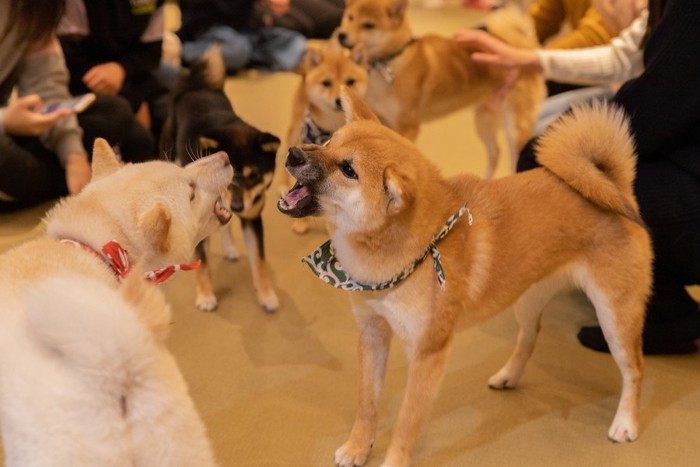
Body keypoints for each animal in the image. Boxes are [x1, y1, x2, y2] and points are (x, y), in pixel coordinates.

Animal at [162, 45, 282, 312]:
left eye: (254, 176)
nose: (237, 206)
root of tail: (195, 86)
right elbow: (203, 263)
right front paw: (206, 295)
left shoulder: (252, 216)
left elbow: (259, 261)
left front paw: (266, 295)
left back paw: (229, 247)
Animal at [278, 89, 652, 466]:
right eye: (329, 141)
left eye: (348, 169)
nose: (293, 153)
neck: (410, 256)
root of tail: (616, 186)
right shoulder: (372, 334)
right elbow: (367, 404)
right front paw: (357, 447)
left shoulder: (428, 355)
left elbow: (406, 423)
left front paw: (393, 460)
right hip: (527, 299)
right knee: (529, 337)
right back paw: (508, 376)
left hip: (614, 320)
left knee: (634, 369)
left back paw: (626, 423)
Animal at [336, 0, 544, 177]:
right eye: (350, 17)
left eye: (368, 25)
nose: (341, 35)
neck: (388, 62)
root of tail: (518, 45)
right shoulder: (380, 120)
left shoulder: (408, 126)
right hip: (484, 120)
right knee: (495, 153)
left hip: (514, 128)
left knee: (513, 157)